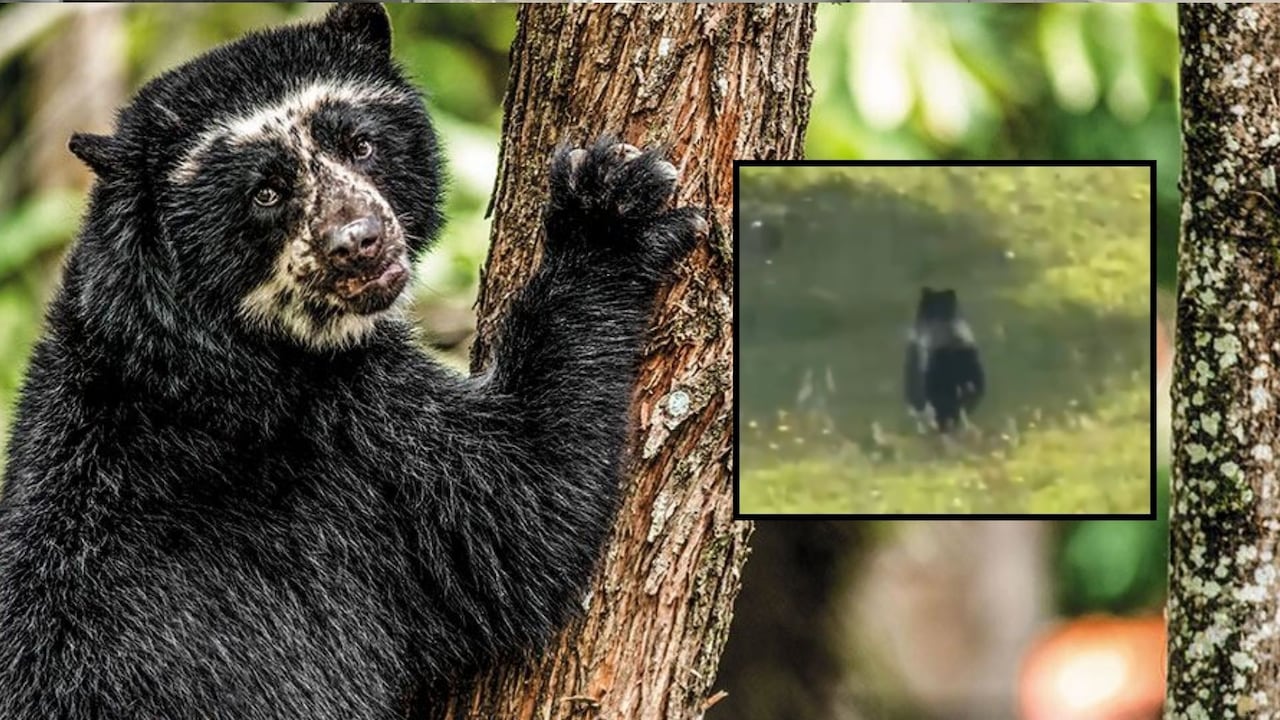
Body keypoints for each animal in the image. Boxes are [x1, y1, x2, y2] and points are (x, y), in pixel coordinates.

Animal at [0, 5, 702, 719]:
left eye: (359, 144)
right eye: (265, 193)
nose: (358, 241)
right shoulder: (349, 436)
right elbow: (521, 515)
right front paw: (609, 210)